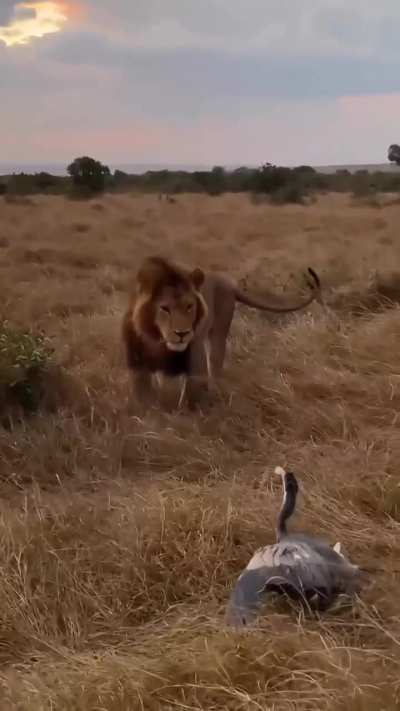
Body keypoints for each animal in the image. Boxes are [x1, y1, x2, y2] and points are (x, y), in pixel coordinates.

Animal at [122, 255, 321, 409]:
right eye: (164, 308)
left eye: (189, 306)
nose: (182, 333)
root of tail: (228, 282)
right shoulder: (138, 363)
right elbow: (145, 398)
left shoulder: (196, 360)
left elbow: (189, 396)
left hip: (218, 332)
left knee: (215, 364)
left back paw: (213, 391)